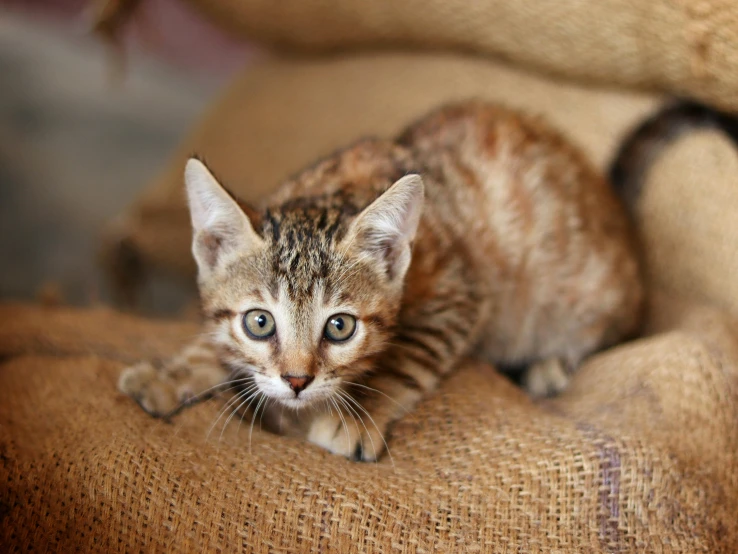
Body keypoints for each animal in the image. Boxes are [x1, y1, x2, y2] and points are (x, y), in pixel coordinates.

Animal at [119, 98, 732, 458]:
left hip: (588, 296)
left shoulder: (461, 292)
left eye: (339, 327)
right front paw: (170, 374)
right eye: (259, 322)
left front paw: (354, 418)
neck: (332, 190)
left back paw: (551, 365)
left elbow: (408, 355)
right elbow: (212, 342)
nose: (297, 382)